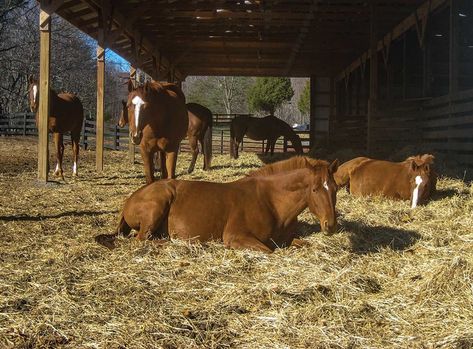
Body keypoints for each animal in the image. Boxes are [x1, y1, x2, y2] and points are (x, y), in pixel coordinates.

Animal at [95, 156, 340, 251]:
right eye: (315, 189)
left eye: (335, 189)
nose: (330, 226)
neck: (271, 201)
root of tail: (130, 199)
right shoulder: (236, 237)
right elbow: (270, 250)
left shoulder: (286, 239)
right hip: (157, 206)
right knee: (141, 240)